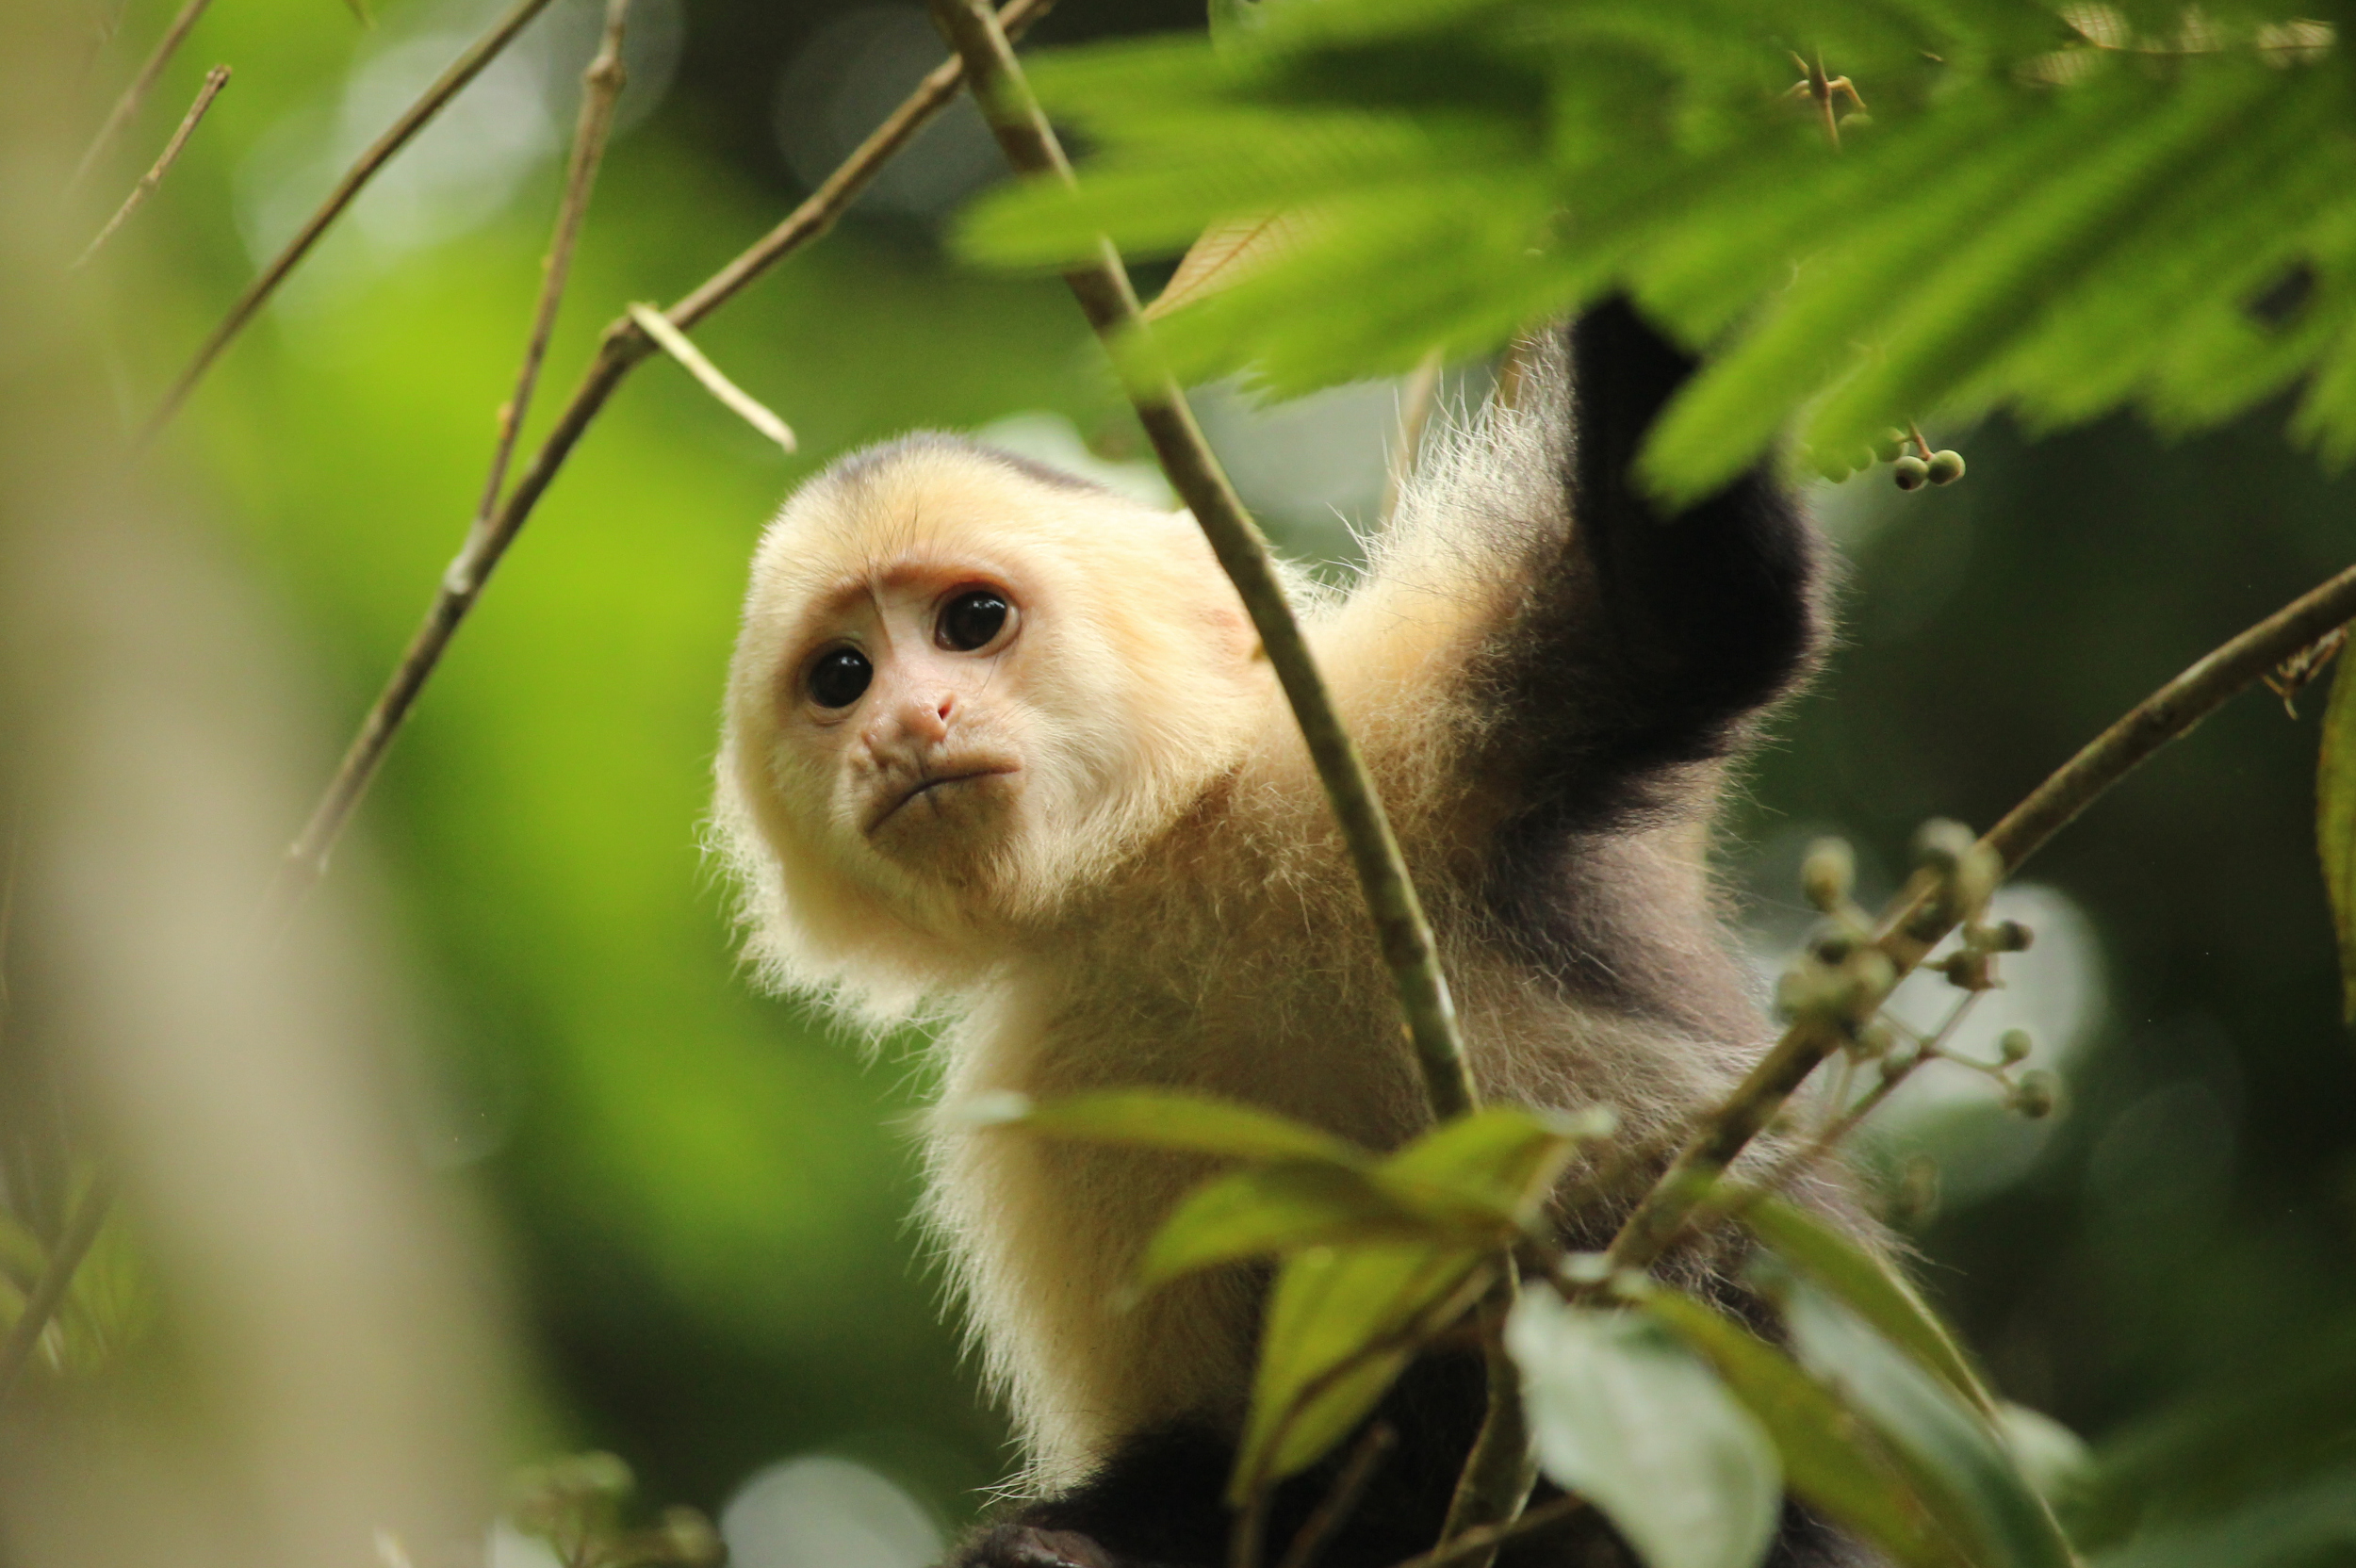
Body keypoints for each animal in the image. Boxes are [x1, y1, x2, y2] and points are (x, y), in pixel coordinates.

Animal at [712, 300, 1861, 1568]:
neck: (1155, 880)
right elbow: (1215, 1448)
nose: (906, 724)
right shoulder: (1053, 1087)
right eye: (842, 676)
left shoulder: (1363, 745)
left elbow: (1697, 625)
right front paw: (1041, 1548)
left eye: (972, 621)